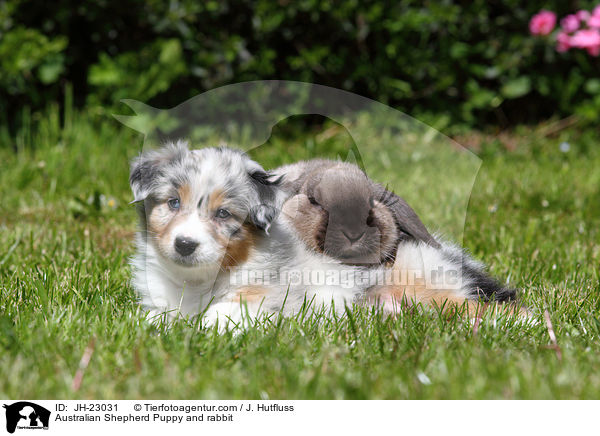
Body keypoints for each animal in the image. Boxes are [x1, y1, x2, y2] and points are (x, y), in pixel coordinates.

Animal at [130, 140, 520, 328]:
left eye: (224, 214)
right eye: (172, 203)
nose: (185, 244)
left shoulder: (263, 295)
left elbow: (221, 314)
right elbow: (156, 316)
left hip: (426, 286)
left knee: (483, 308)